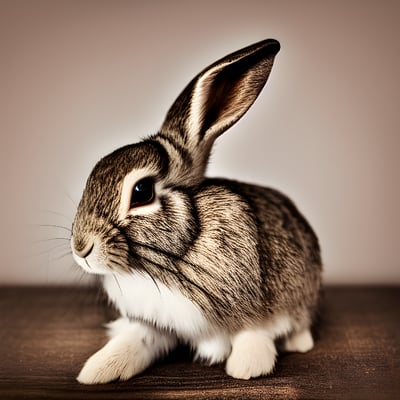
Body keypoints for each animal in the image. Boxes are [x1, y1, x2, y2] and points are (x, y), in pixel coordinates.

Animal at [71, 38, 322, 384]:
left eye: (142, 191)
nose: (80, 248)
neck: (172, 259)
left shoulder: (256, 312)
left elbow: (252, 335)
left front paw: (247, 368)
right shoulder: (156, 322)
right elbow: (136, 340)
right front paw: (98, 370)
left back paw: (299, 343)